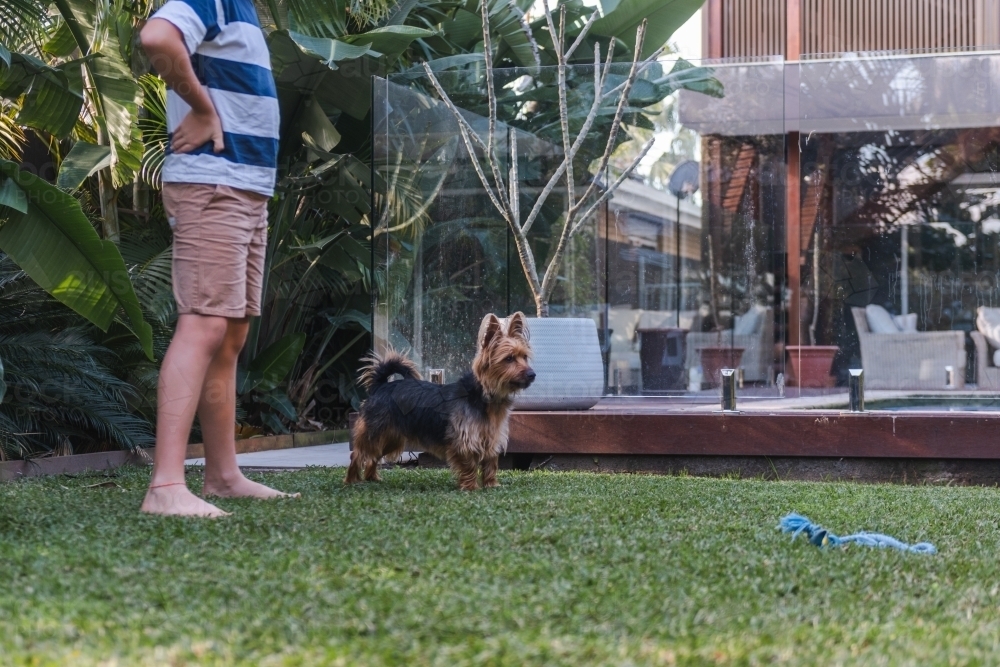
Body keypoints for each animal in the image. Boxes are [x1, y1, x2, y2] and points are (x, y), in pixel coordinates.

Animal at [348, 314, 536, 490]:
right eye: (509, 359)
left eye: (524, 357)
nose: (532, 374)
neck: (484, 395)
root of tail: (381, 385)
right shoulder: (465, 440)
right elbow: (469, 464)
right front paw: (471, 487)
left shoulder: (491, 438)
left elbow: (491, 464)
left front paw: (491, 485)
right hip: (375, 432)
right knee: (358, 455)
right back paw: (352, 480)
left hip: (391, 438)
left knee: (373, 456)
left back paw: (372, 478)